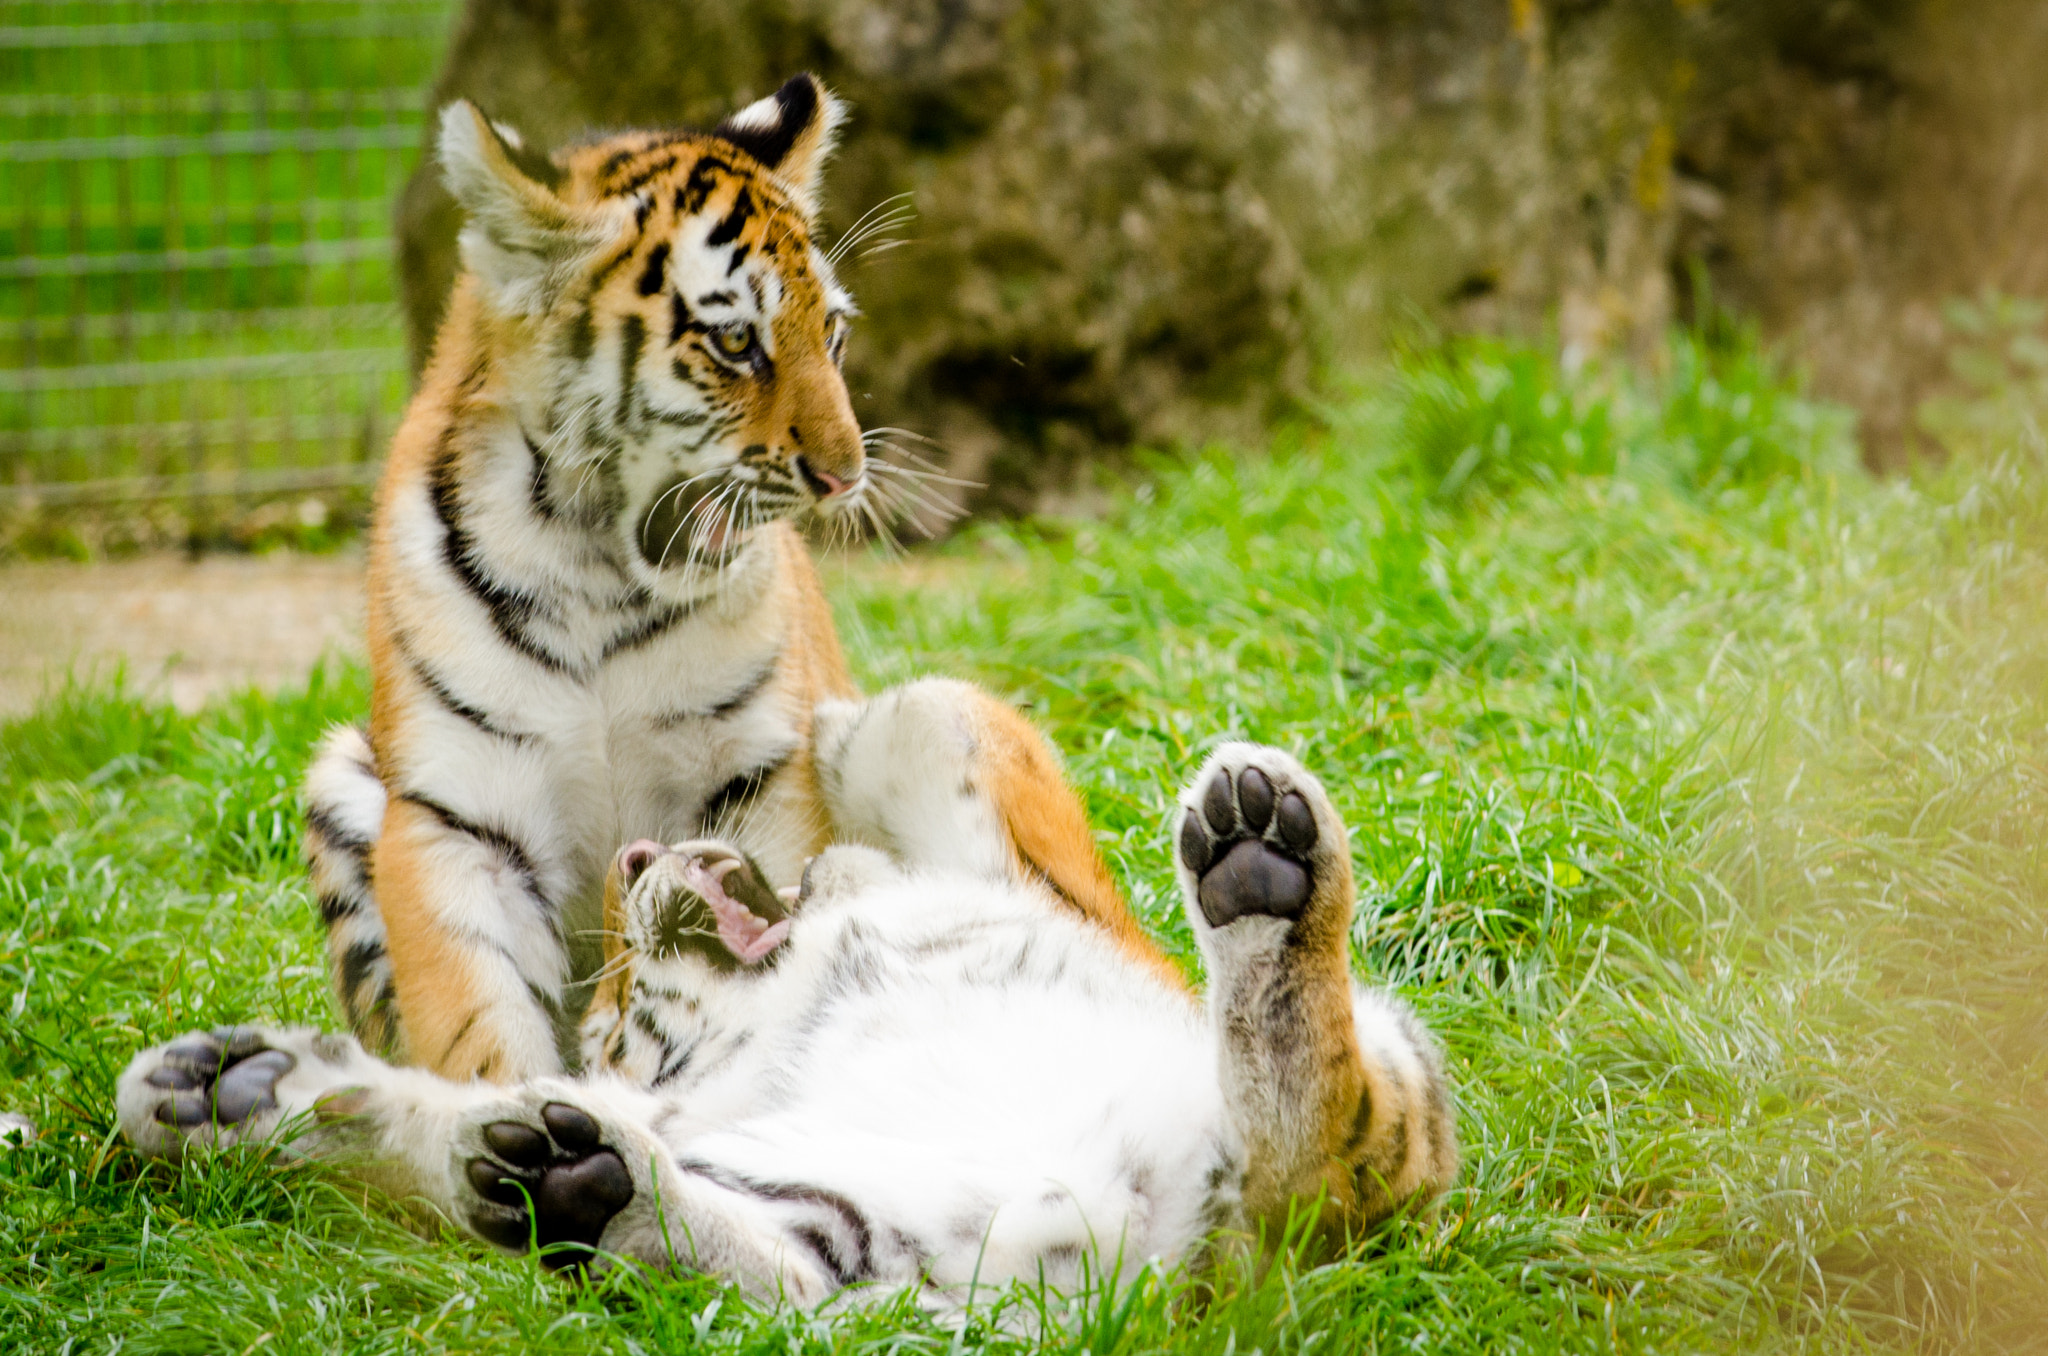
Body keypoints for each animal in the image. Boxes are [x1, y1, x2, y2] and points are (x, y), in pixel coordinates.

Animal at [121, 741, 1457, 1305]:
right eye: (613, 1005)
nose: (639, 853)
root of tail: (1168, 1267)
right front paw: (237, 1090)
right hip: (855, 1209)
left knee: (1309, 1129)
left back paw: (1257, 857)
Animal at [303, 74, 1160, 1086]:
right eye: (735, 343)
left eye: (831, 332)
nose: (846, 475)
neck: (598, 571)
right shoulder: (459, 820)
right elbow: (481, 1030)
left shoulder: (757, 778)